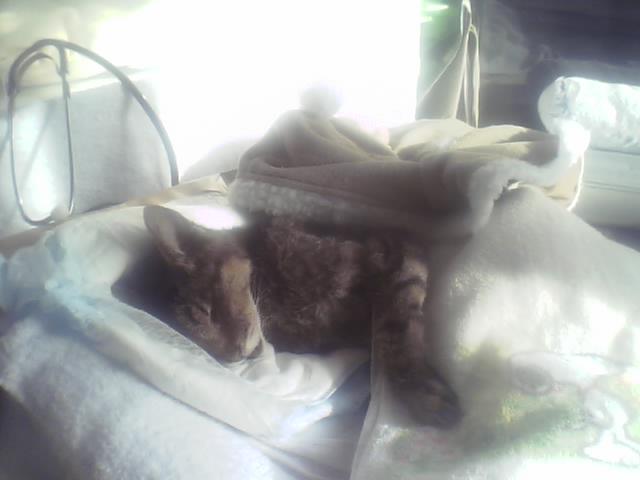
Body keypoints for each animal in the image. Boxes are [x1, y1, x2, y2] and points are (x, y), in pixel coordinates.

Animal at [114, 205, 462, 428]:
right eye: (189, 339)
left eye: (205, 312)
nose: (232, 356)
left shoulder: (399, 248)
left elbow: (395, 326)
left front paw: (424, 394)